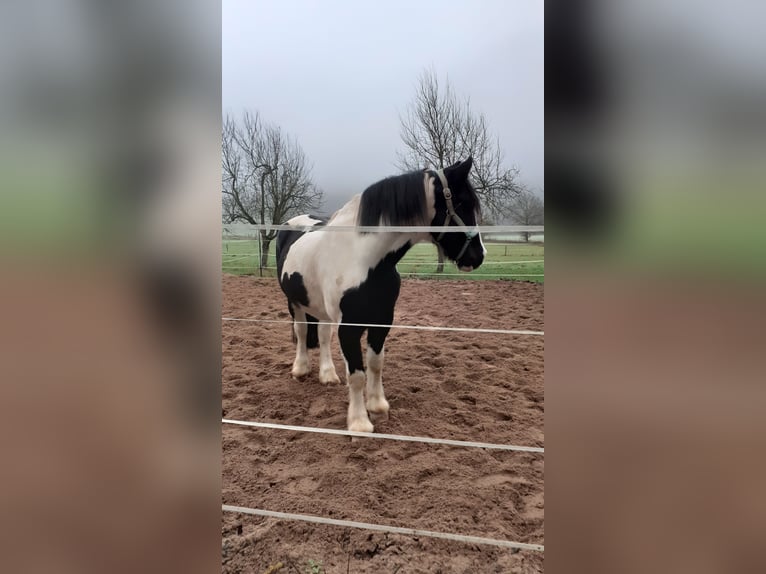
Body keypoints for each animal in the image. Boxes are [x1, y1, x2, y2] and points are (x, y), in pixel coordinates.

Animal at [275, 157, 485, 433]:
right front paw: (359, 423)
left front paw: (377, 407)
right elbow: (357, 374)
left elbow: (375, 365)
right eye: (462, 203)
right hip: (295, 302)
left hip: (320, 308)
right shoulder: (349, 328)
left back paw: (328, 375)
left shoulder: (382, 321)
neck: (364, 260)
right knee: (301, 331)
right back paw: (300, 369)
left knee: (322, 336)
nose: (478, 256)